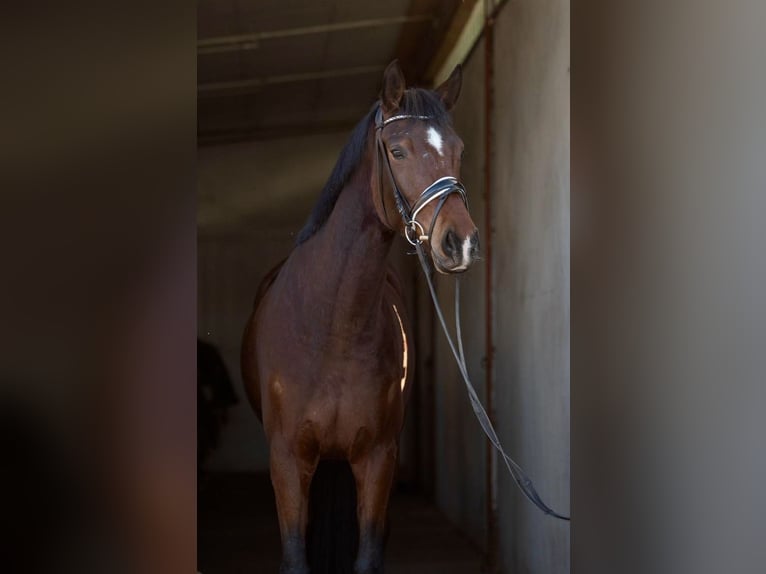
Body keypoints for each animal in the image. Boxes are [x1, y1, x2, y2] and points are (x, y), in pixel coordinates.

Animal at [241, 60, 479, 574]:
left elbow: (368, 552)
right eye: (398, 150)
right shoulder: (287, 459)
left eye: (459, 150)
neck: (333, 327)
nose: (461, 243)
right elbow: (297, 554)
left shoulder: (377, 458)